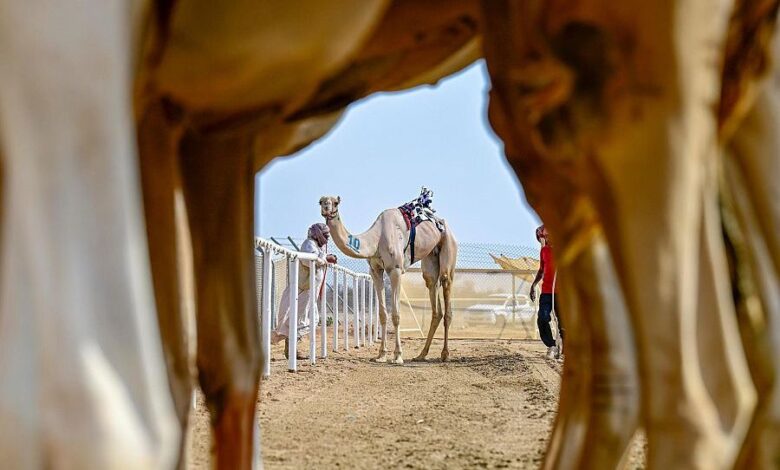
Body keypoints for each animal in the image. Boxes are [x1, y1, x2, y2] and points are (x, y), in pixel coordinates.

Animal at [320, 195, 460, 364]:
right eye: (320, 201)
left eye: (335, 203)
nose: (326, 209)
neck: (376, 239)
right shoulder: (375, 270)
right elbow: (382, 314)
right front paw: (381, 355)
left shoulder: (395, 270)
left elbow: (396, 315)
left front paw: (398, 355)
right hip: (431, 258)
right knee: (433, 293)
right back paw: (421, 354)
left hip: (449, 246)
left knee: (446, 291)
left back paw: (445, 354)